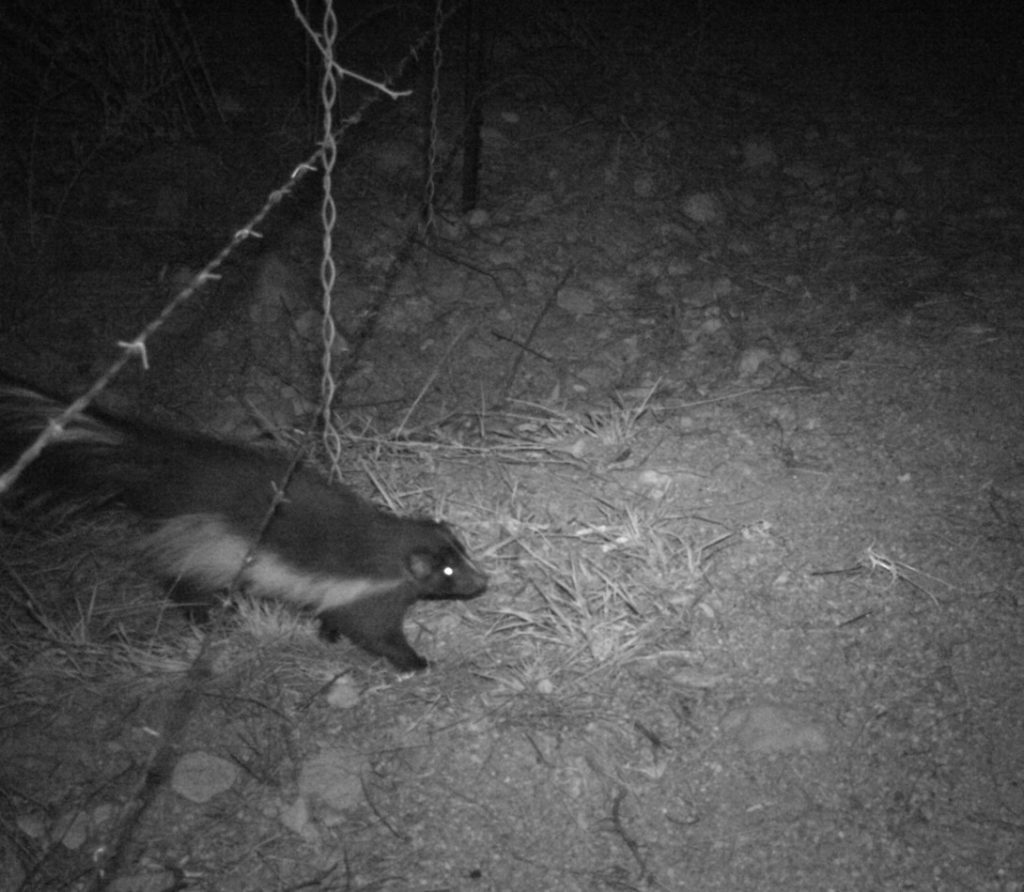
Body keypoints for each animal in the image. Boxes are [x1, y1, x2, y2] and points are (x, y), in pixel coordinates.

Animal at [0, 380, 487, 671]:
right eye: (447, 572)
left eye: (462, 554)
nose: (483, 582)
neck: (385, 544)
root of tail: (169, 468)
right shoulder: (365, 594)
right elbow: (374, 632)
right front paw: (416, 661)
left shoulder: (337, 591)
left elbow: (330, 617)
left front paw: (327, 636)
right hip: (206, 543)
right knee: (182, 582)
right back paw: (208, 619)